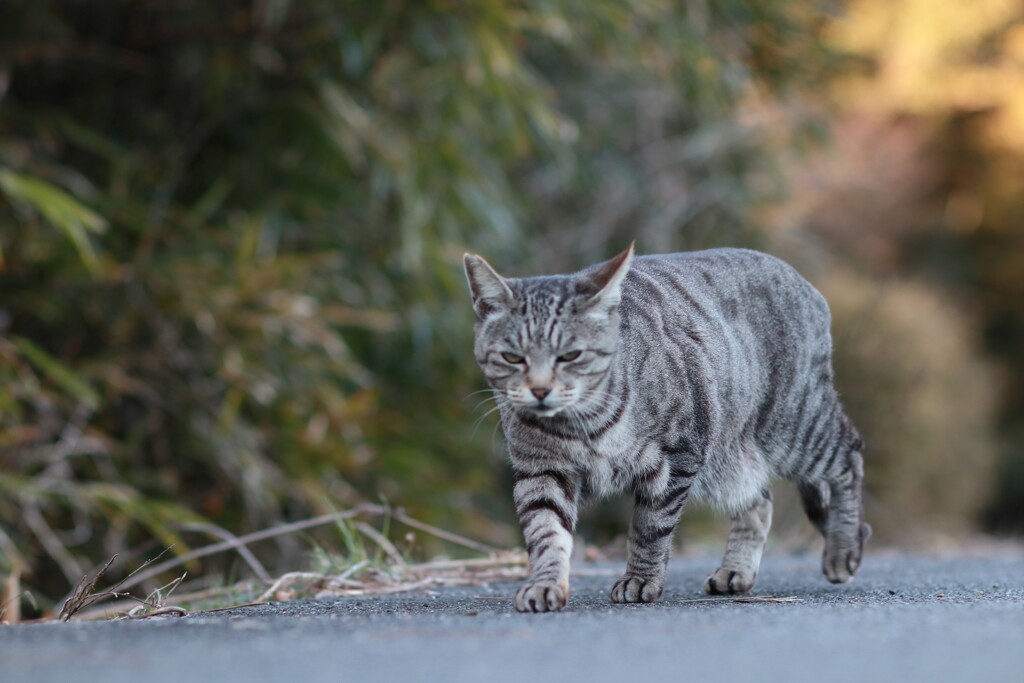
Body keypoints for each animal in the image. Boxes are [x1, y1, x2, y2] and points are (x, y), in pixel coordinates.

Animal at [464, 245, 872, 614]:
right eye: (512, 357)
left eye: (569, 356)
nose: (539, 390)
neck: (584, 426)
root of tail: (802, 280)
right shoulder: (542, 471)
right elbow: (546, 533)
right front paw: (545, 585)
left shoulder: (679, 455)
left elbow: (650, 527)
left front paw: (640, 579)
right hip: (730, 460)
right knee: (759, 500)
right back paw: (736, 571)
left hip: (795, 426)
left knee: (849, 455)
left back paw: (843, 549)